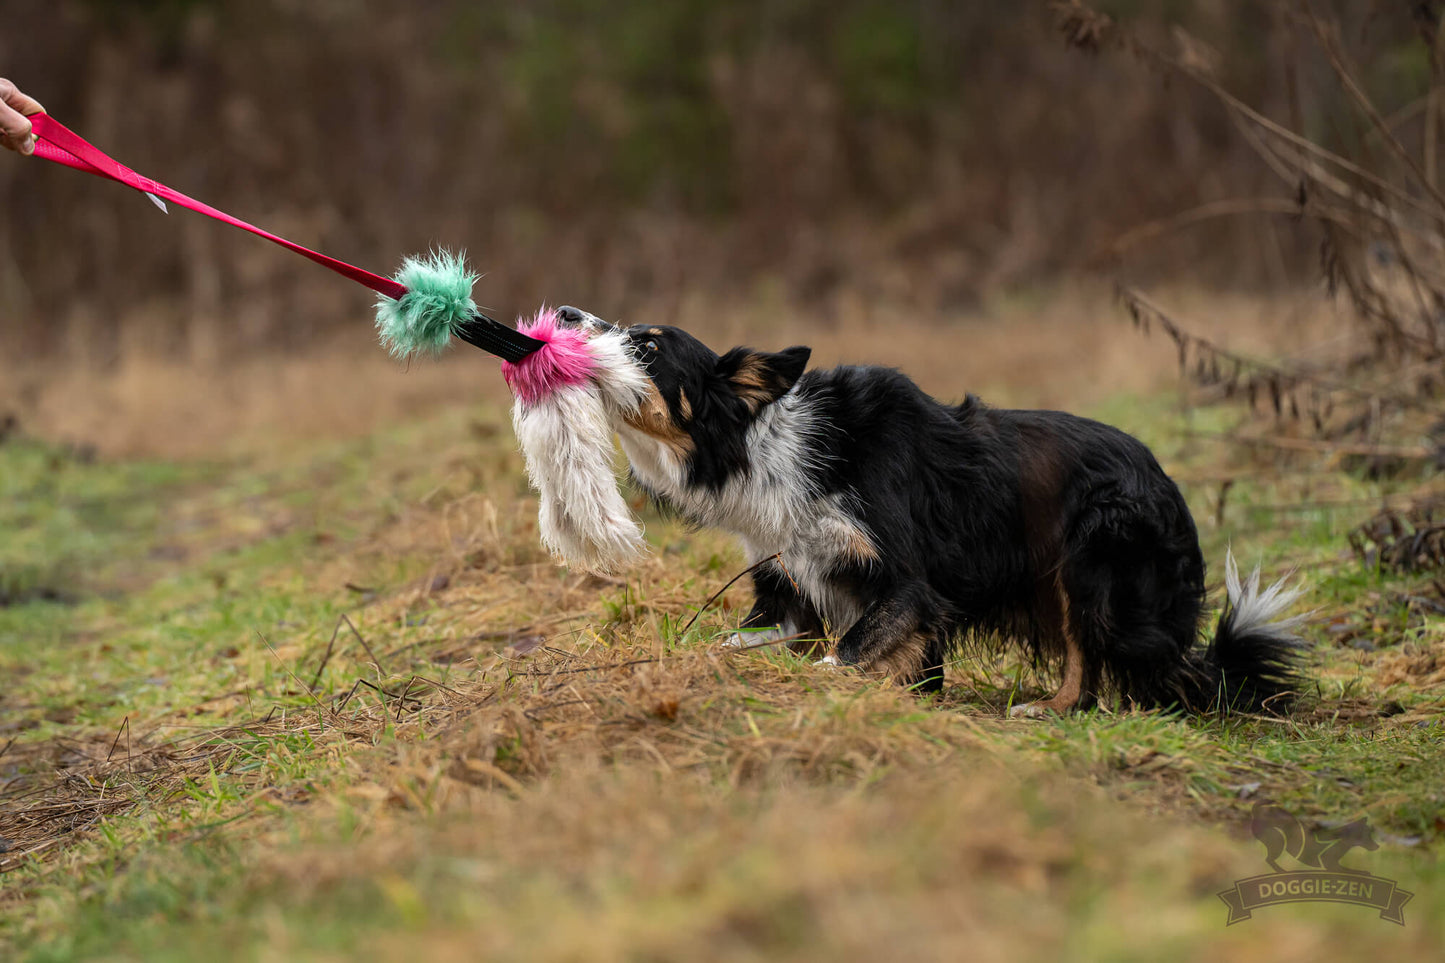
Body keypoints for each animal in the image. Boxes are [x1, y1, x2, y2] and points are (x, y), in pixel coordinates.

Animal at [554, 305, 1312, 711]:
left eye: (646, 345)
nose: (561, 314)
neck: (763, 447)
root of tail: (1168, 485)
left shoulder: (908, 581)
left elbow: (853, 649)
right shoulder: (793, 585)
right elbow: (745, 640)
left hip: (1095, 553)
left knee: (1098, 658)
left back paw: (1047, 708)